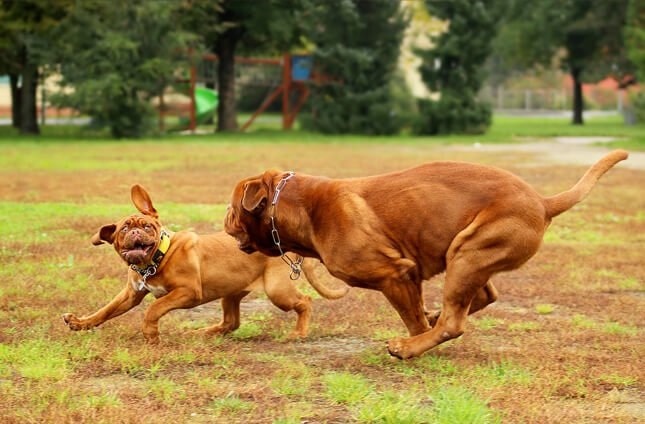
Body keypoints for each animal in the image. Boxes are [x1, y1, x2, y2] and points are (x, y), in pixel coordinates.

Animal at [63, 184, 348, 342]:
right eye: (123, 229)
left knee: (305, 302)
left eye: (147, 226)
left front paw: (151, 334)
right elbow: (106, 310)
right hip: (231, 292)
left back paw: (299, 333)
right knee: (231, 323)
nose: (135, 233)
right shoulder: (130, 295)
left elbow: (154, 309)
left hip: (277, 290)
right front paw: (80, 323)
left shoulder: (188, 292)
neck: (156, 259)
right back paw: (203, 333)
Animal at [224, 149, 628, 358]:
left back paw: (409, 346)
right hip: (467, 255)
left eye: (231, 206)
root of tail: (543, 202)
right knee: (482, 297)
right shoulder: (411, 276)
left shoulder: (396, 274)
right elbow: (421, 312)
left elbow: (412, 319)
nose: (223, 218)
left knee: (453, 322)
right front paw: (424, 321)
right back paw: (434, 317)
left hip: (467, 254)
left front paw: (413, 341)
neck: (304, 207)